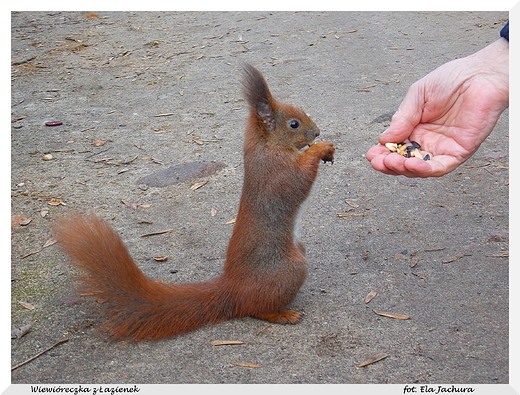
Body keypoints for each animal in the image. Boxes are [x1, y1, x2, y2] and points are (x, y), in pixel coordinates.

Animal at [54, 65, 336, 344]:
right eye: (293, 124)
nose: (317, 133)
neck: (266, 144)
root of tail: (232, 289)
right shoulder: (278, 172)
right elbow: (298, 180)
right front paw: (321, 149)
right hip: (289, 269)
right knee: (256, 309)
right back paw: (282, 314)